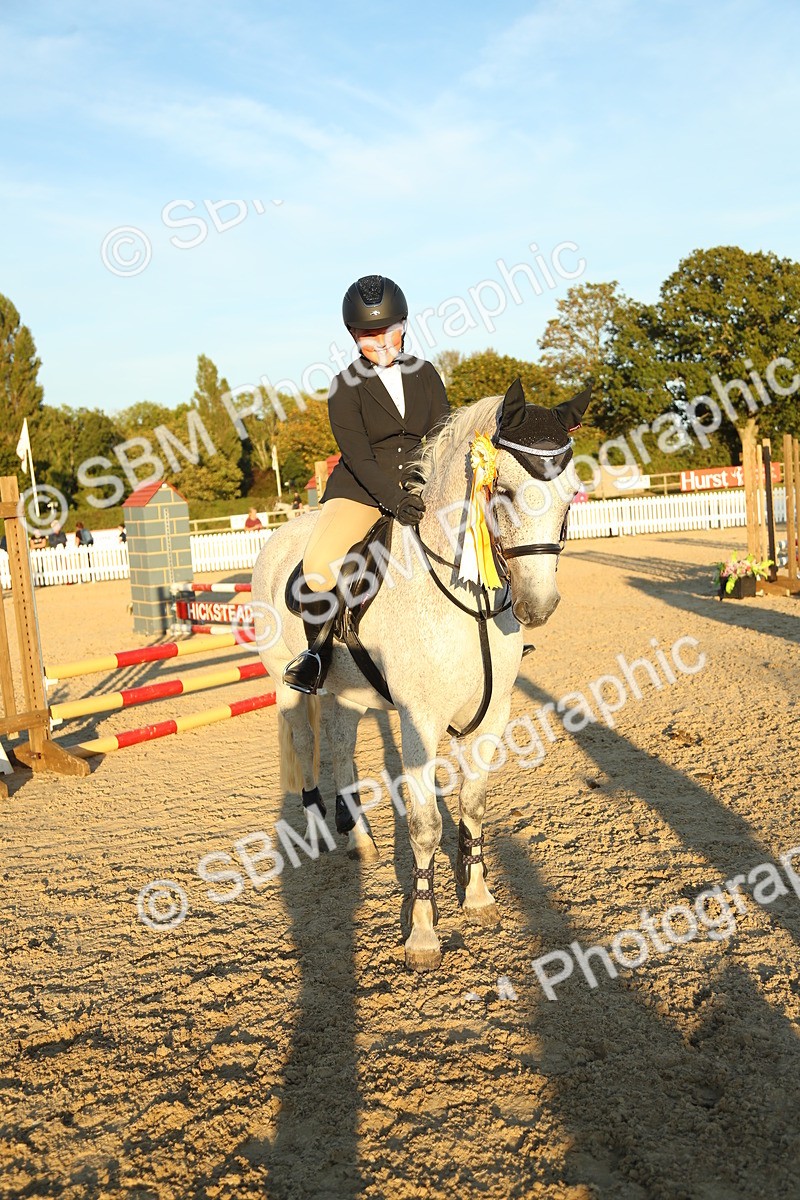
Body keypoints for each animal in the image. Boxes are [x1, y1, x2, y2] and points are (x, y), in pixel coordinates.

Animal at [251, 378, 591, 971]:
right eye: (502, 492)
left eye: (571, 492)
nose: (539, 606)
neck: (467, 599)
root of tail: (279, 535)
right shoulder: (419, 720)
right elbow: (425, 823)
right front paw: (424, 936)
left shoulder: (491, 714)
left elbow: (472, 804)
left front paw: (477, 898)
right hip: (285, 684)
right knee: (307, 745)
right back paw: (320, 831)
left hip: (348, 693)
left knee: (341, 748)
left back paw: (360, 840)